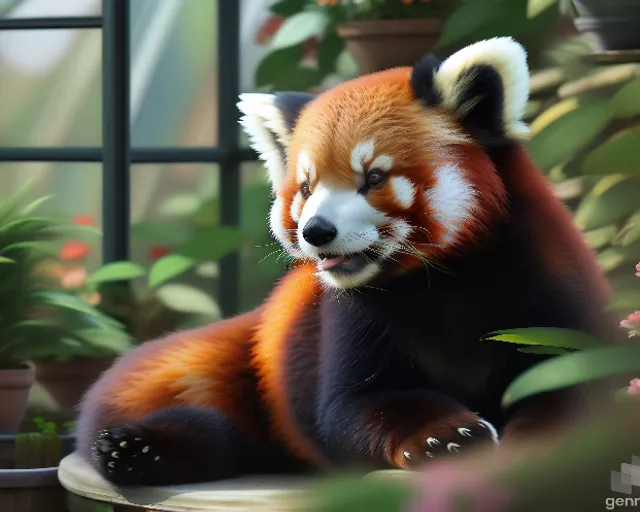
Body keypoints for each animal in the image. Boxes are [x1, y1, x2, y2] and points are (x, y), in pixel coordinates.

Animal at [75, 38, 616, 486]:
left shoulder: (547, 284)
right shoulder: (347, 317)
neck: (440, 282)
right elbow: (352, 407)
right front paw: (444, 437)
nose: (316, 232)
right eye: (307, 188)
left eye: (372, 178)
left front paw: (547, 442)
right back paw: (134, 449)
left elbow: (575, 383)